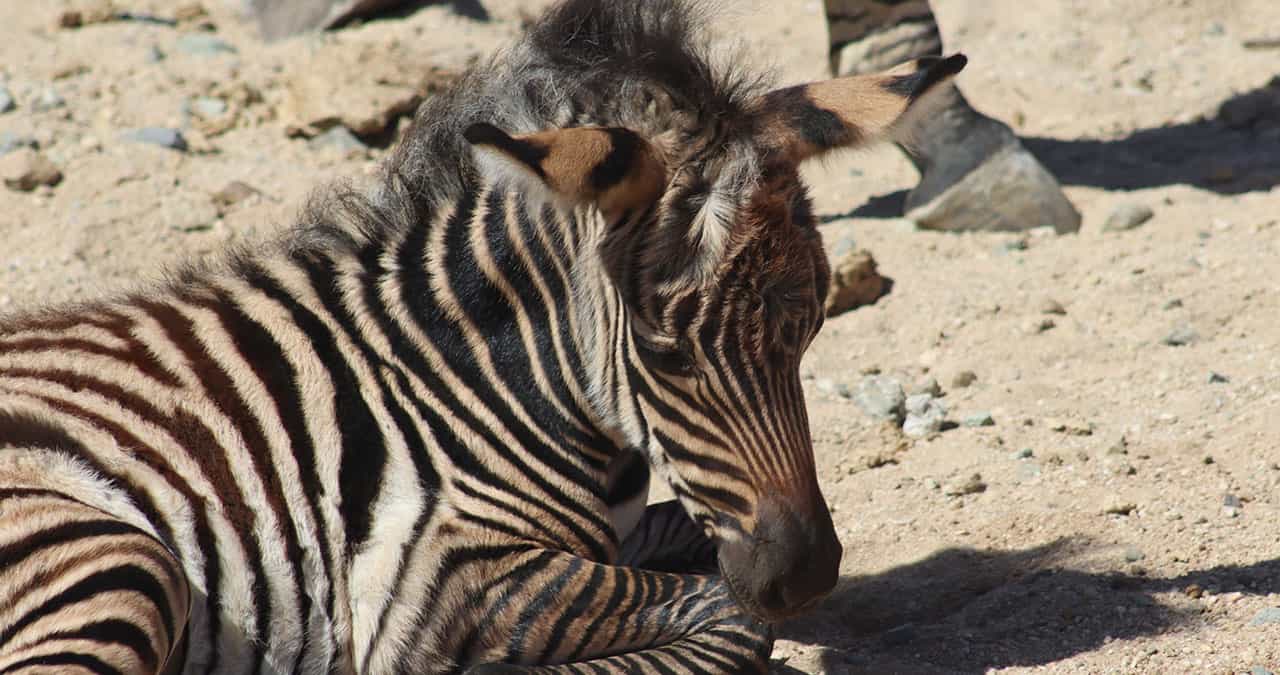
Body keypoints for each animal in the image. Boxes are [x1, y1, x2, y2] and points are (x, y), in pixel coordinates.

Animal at [0, 0, 962, 671]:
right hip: (115, 557)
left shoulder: (628, 528)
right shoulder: (438, 573)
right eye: (667, 353)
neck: (474, 369)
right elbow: (724, 613)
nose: (807, 577)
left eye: (809, 332)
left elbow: (698, 558)